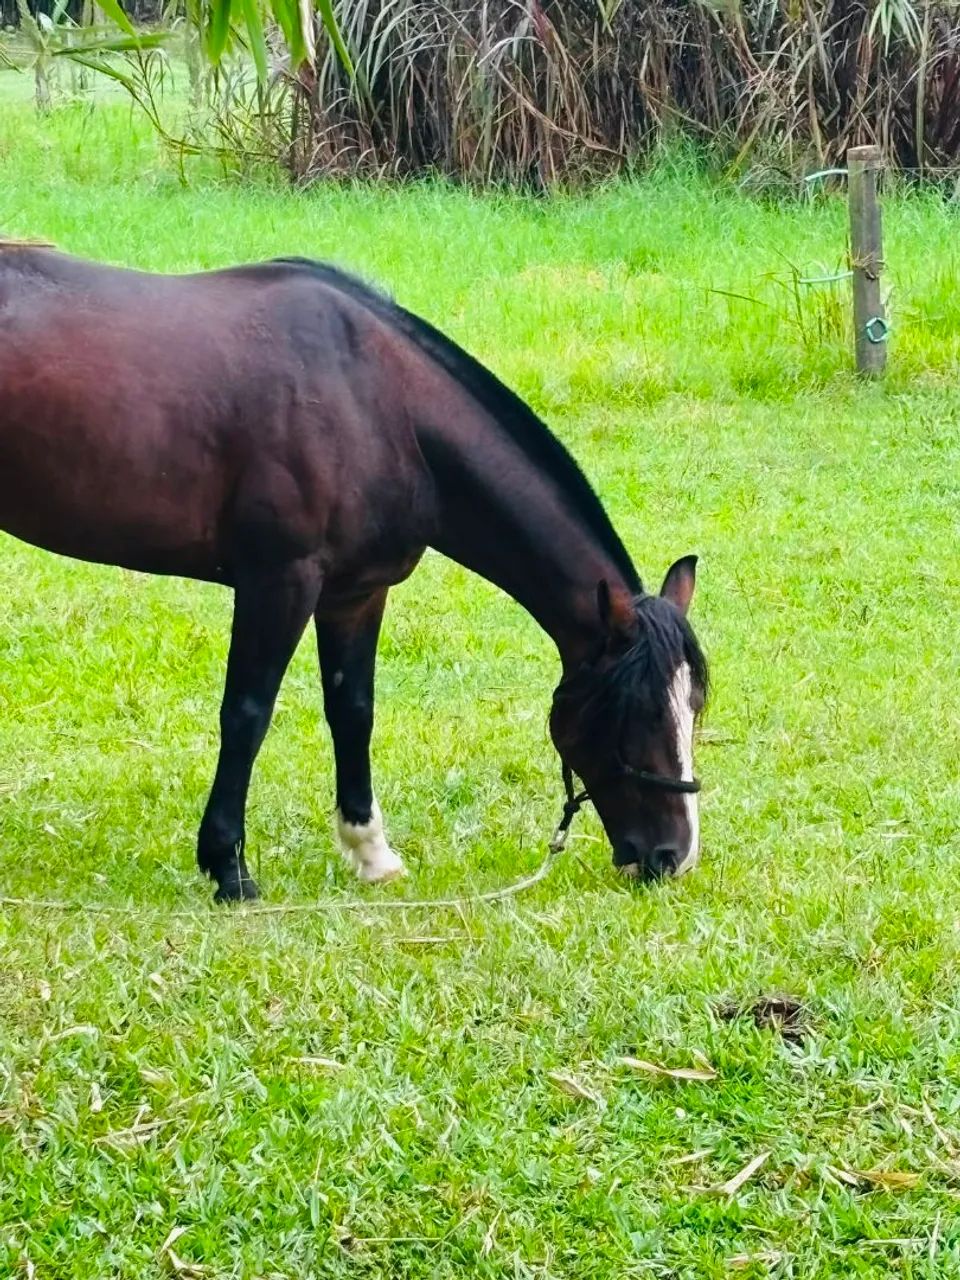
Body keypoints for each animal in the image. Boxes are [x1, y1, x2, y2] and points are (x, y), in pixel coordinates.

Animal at [0, 243, 708, 903]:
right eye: (640, 712)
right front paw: (229, 868)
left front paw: (371, 854)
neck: (379, 401)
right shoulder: (279, 582)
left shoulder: (355, 594)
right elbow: (247, 714)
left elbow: (354, 710)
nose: (673, 856)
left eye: (692, 706)